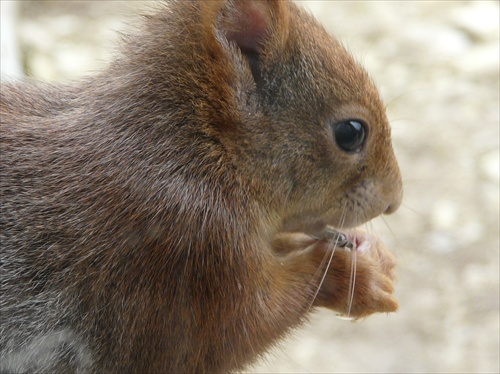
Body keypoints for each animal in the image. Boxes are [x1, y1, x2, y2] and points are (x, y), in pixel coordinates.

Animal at [0, 1, 404, 372]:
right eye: (350, 132)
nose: (395, 200)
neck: (199, 147)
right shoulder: (186, 248)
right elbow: (236, 331)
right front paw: (354, 275)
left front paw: (369, 250)